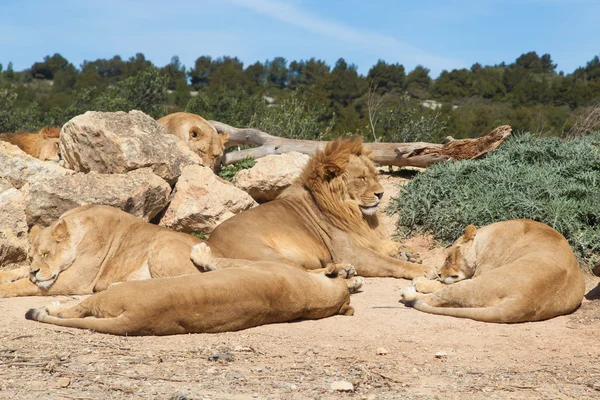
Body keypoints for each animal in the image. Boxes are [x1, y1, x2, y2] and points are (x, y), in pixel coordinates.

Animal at [0, 206, 209, 296]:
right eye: (30, 258)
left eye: (45, 254)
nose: (35, 272)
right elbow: (19, 272)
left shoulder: (75, 281)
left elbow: (22, 285)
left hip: (162, 240)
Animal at [25, 242, 356, 336]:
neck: (310, 297)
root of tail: (138, 317)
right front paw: (347, 274)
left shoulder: (245, 264)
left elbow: (218, 259)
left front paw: (200, 250)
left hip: (115, 295)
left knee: (74, 309)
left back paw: (47, 308)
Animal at [206, 136, 436, 280]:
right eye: (361, 179)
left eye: (374, 175)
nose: (381, 193)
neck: (355, 214)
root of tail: (210, 243)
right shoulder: (350, 253)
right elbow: (390, 262)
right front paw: (422, 268)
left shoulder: (362, 237)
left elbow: (384, 245)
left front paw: (407, 251)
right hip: (265, 253)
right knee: (297, 272)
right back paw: (341, 273)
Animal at [398, 219, 584, 322]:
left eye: (449, 257)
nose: (439, 273)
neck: (484, 239)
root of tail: (525, 301)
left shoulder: (482, 271)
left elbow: (441, 284)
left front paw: (422, 281)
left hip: (478, 284)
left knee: (434, 297)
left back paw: (408, 293)